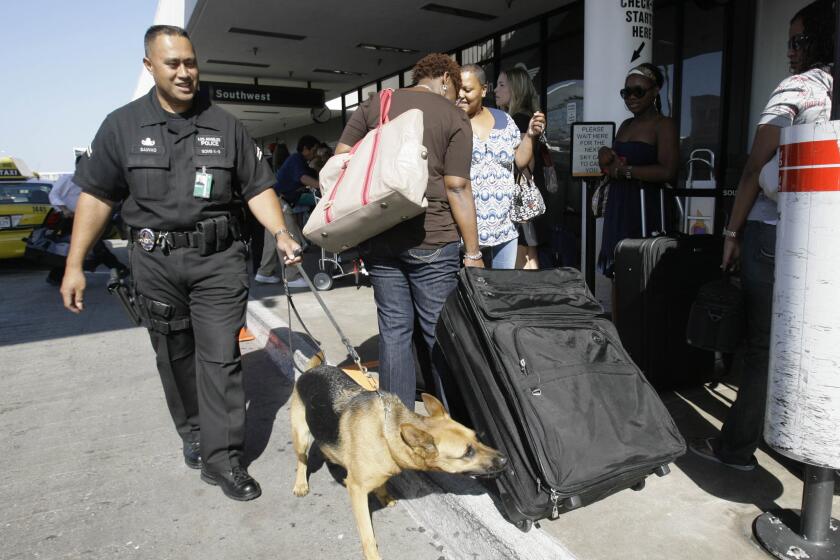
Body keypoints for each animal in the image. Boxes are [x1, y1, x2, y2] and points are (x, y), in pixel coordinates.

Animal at [292, 364, 508, 560]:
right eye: (467, 453)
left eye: (477, 438)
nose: (505, 460)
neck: (385, 433)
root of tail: (312, 369)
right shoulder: (356, 489)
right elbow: (367, 534)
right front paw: (372, 555)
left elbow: (382, 484)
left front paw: (384, 496)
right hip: (301, 437)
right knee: (302, 460)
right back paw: (301, 484)